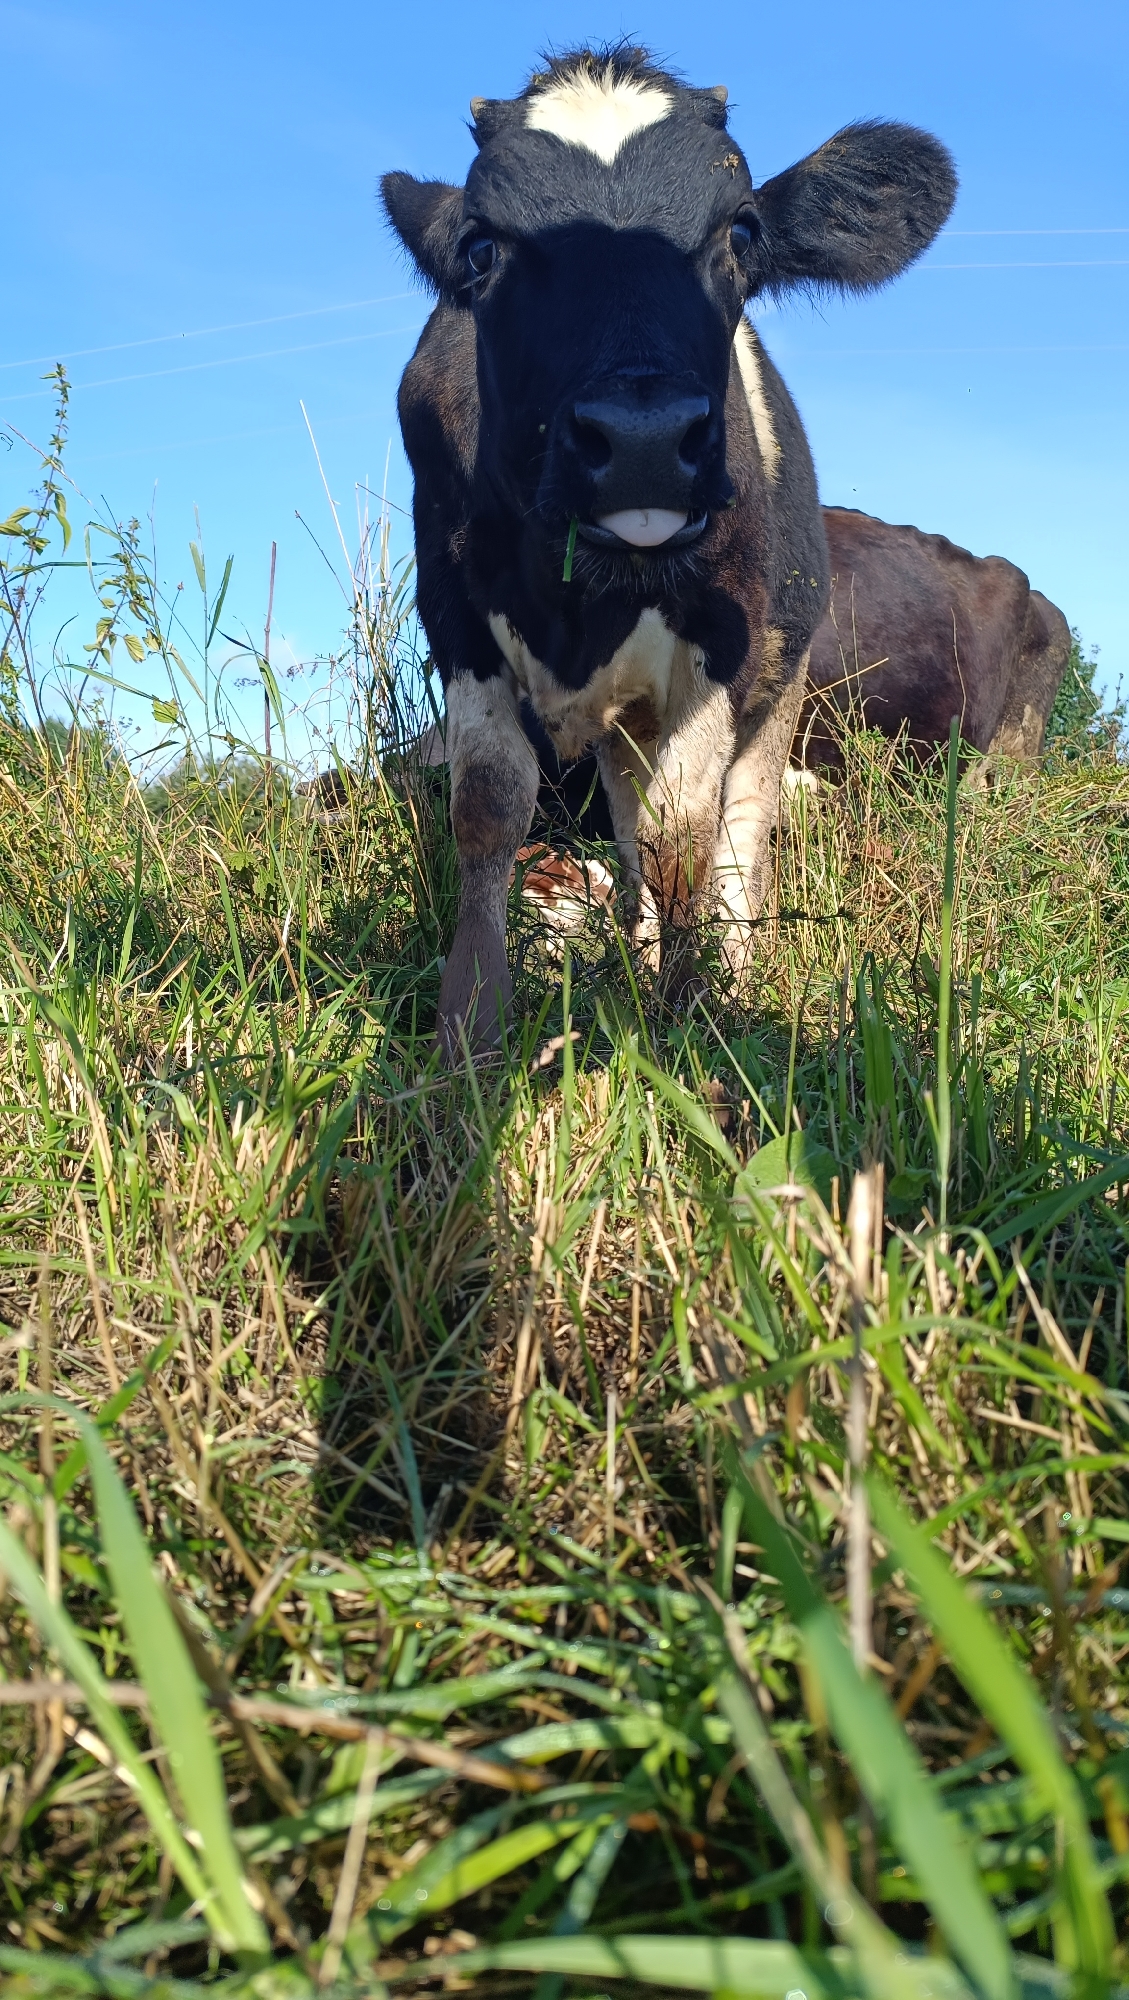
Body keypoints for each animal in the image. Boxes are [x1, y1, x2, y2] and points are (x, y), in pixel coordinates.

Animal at [383, 46, 957, 1052]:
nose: (642, 439)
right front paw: (470, 1031)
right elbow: (490, 807)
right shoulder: (453, 611)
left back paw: (727, 966)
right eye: (482, 248)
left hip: (781, 681)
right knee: (626, 824)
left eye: (741, 232)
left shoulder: (723, 638)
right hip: (625, 723)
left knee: (738, 830)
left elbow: (681, 836)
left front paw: (689, 1023)